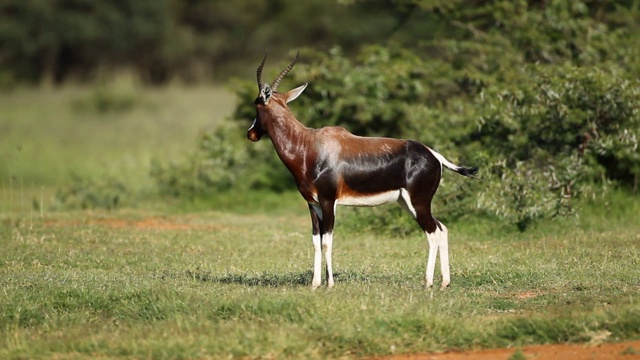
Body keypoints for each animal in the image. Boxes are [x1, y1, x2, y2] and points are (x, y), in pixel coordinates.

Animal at [248, 52, 478, 290]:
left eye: (256, 106)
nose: (251, 134)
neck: (309, 145)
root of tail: (433, 154)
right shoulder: (313, 204)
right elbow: (315, 241)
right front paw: (315, 284)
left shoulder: (328, 202)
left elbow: (327, 241)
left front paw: (329, 284)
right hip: (407, 203)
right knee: (442, 228)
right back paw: (445, 282)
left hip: (418, 203)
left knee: (432, 232)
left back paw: (428, 282)